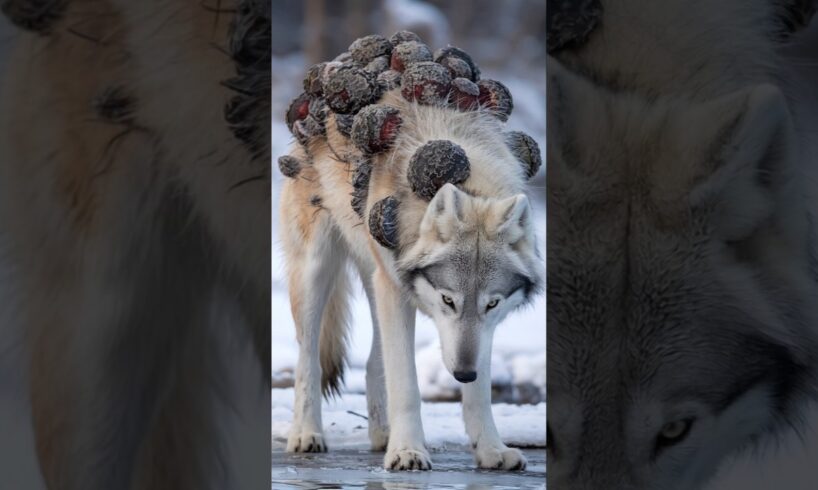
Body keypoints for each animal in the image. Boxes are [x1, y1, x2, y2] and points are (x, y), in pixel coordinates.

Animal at [278, 37, 544, 470]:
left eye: (492, 304)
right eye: (448, 300)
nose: (463, 374)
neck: (468, 177)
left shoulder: (477, 330)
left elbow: (480, 394)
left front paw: (490, 449)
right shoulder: (399, 295)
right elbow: (407, 384)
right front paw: (407, 451)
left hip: (377, 280)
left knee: (374, 361)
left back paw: (381, 434)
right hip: (318, 273)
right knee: (308, 359)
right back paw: (306, 434)